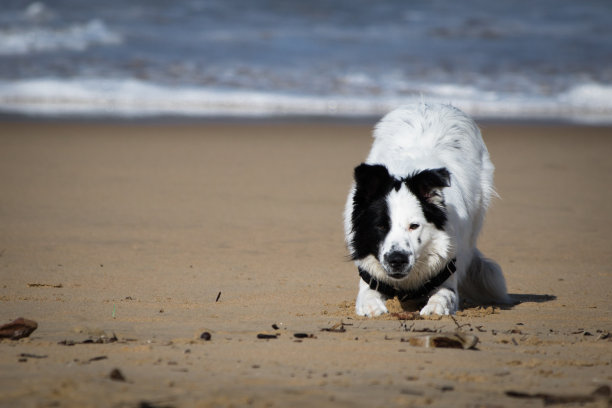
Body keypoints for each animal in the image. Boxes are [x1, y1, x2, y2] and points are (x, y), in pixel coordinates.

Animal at [344, 103, 512, 316]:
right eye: (381, 226)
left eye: (414, 226)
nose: (397, 260)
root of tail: (432, 104)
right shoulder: (370, 277)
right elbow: (367, 295)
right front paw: (373, 307)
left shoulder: (448, 268)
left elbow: (444, 295)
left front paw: (435, 308)